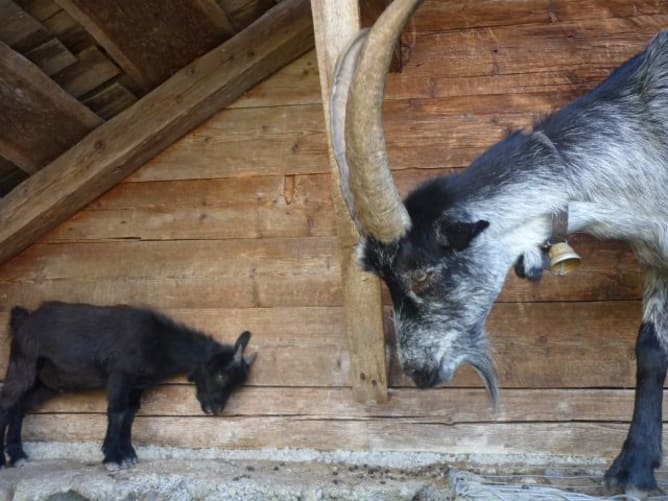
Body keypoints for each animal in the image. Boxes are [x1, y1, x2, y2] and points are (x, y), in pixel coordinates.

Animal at [0, 300, 256, 468]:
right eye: (221, 374)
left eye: (237, 385)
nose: (216, 409)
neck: (159, 342)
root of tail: (23, 321)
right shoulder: (120, 375)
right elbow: (116, 411)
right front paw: (113, 457)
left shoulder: (136, 386)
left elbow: (129, 414)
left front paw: (128, 454)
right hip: (23, 365)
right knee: (7, 403)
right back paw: (4, 460)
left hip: (45, 382)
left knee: (19, 408)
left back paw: (18, 455)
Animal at [332, 0, 668, 496]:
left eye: (424, 274)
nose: (417, 371)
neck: (647, 132)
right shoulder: (655, 254)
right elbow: (649, 350)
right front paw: (633, 468)